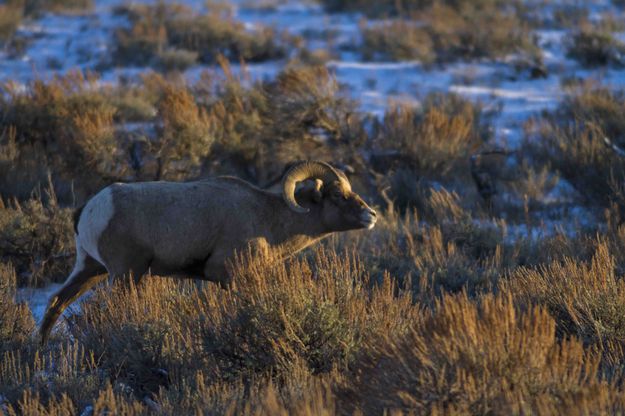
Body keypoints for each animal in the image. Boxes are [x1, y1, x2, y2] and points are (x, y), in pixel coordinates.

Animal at [41, 161, 378, 342]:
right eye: (338, 195)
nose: (371, 215)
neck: (267, 218)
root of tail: (91, 209)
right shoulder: (230, 275)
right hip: (124, 274)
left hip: (90, 270)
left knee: (56, 302)